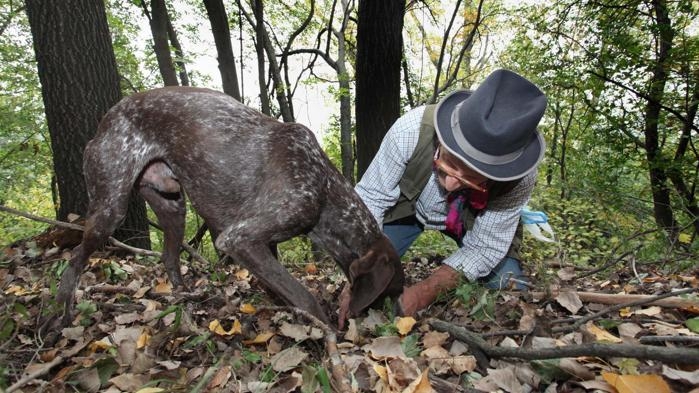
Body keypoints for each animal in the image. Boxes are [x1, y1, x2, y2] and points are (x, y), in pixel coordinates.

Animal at [57, 86, 408, 328]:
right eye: (390, 292)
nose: (402, 318)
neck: (324, 189)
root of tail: (106, 120)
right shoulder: (240, 238)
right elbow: (303, 295)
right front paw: (328, 331)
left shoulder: (264, 243)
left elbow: (279, 286)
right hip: (110, 209)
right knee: (74, 262)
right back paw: (58, 315)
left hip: (173, 207)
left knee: (169, 257)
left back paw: (185, 299)